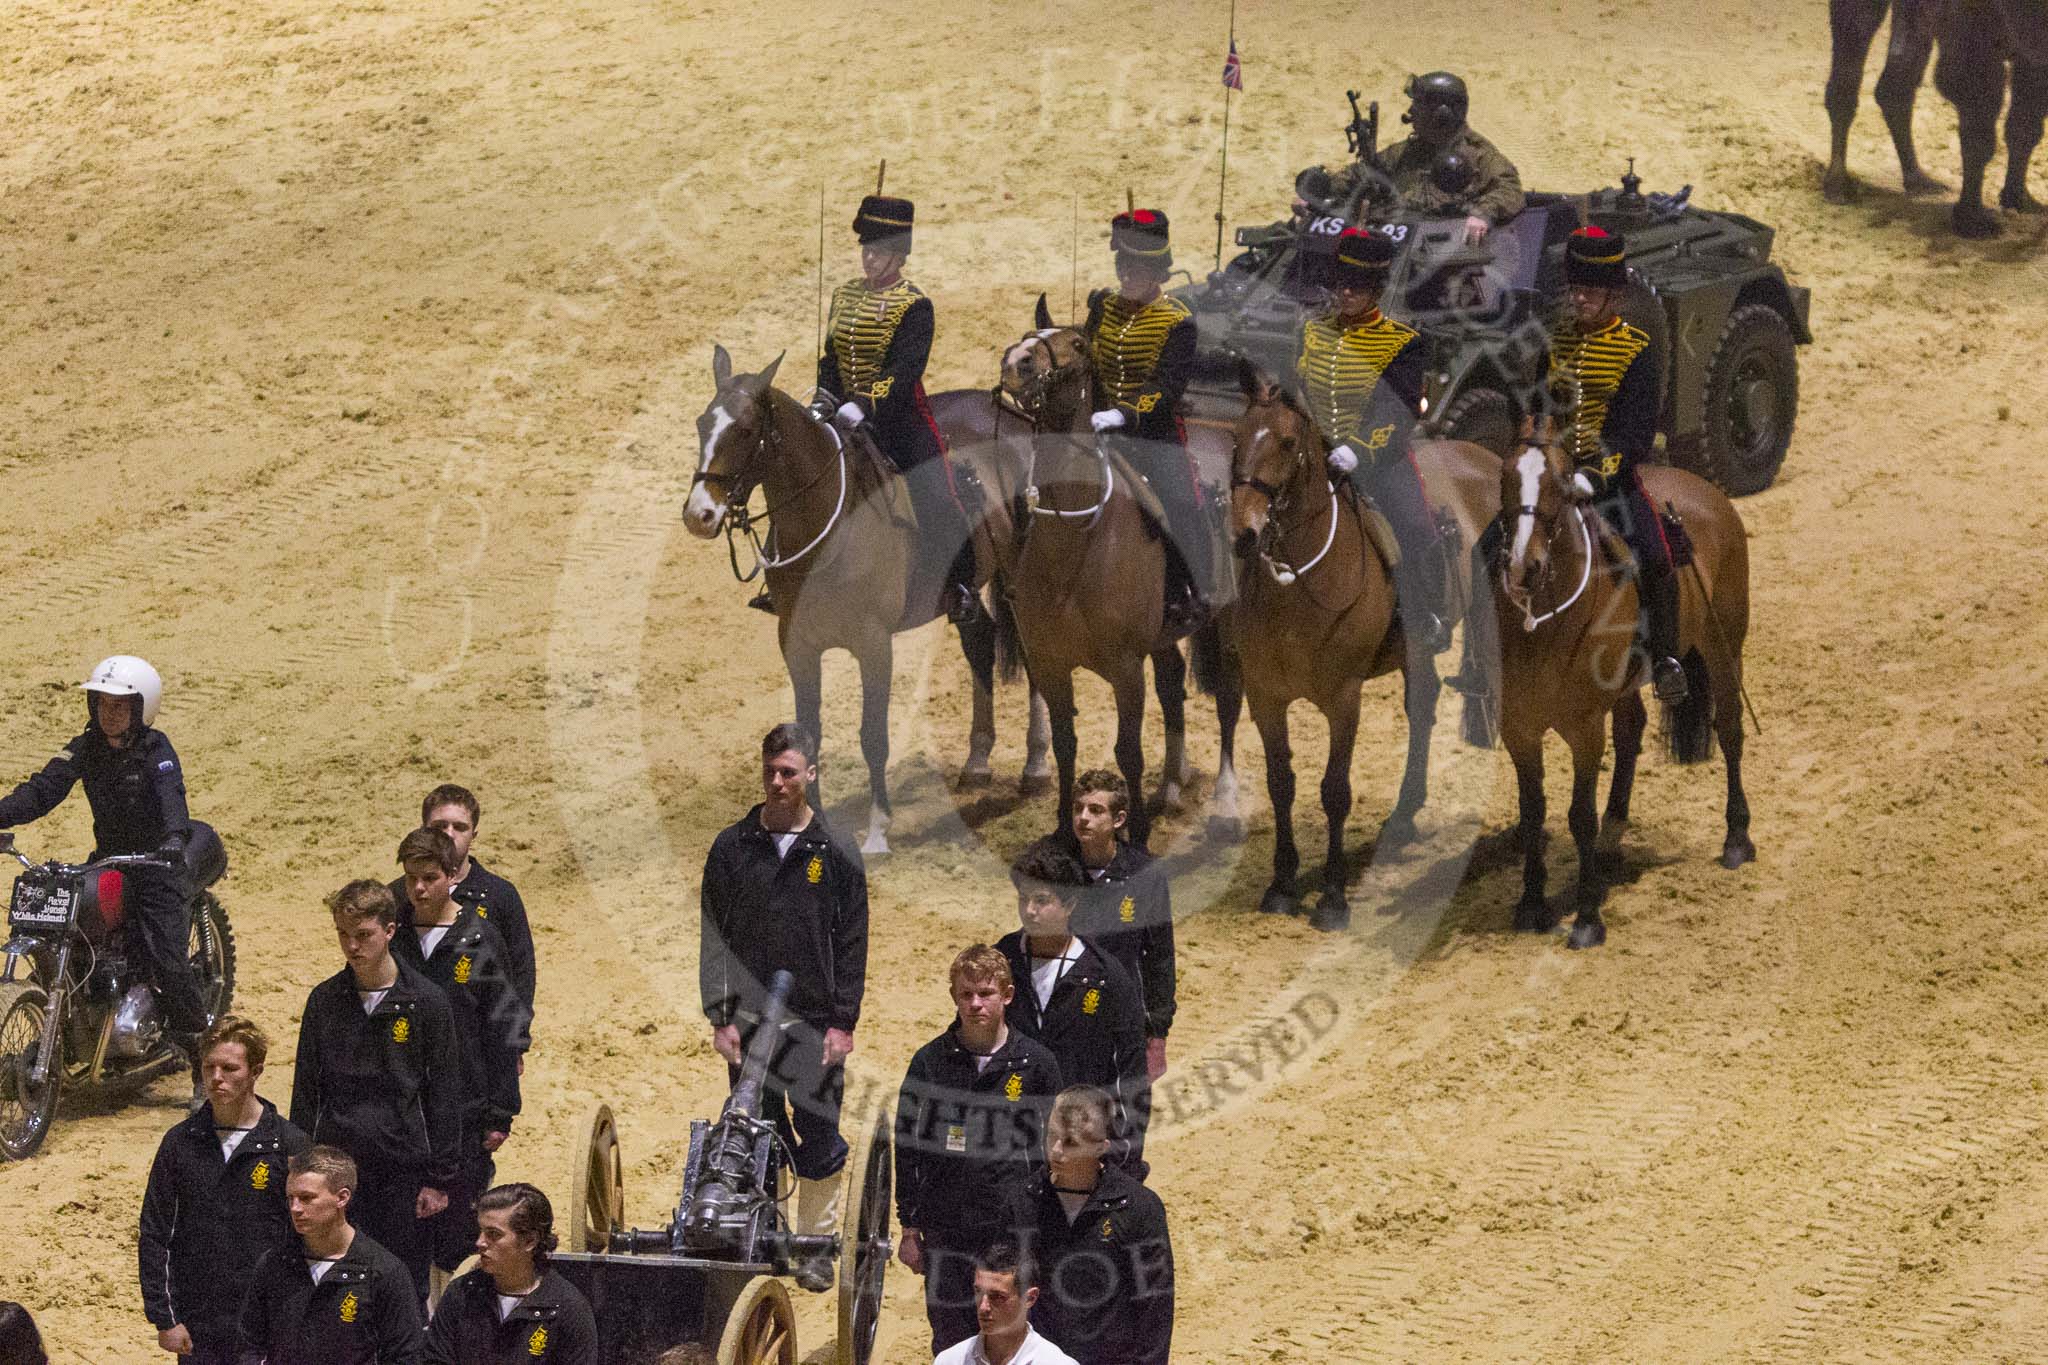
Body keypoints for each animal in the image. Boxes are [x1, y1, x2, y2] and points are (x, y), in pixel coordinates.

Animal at [688, 343, 1007, 855]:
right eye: (702, 423)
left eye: (746, 430)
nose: (698, 514)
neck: (827, 526)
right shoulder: (797, 643)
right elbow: (807, 734)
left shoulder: (874, 644)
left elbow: (873, 735)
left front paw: (877, 829)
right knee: (981, 643)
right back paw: (978, 760)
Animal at [1212, 362, 1507, 929]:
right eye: (1236, 437)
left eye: (1287, 442)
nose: (1244, 533)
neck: (1302, 581)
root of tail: (1487, 458)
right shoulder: (1265, 696)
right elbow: (1281, 783)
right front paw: (1282, 883)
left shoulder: (1344, 700)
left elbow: (1334, 790)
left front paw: (1332, 896)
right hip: (1416, 650)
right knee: (1424, 707)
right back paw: (1406, 812)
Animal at [1458, 419, 1761, 949]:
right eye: (1504, 478)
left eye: (1561, 483)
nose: (1523, 566)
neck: (1541, 625)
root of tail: (1707, 490)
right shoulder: (1520, 728)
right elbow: (1533, 811)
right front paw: (1532, 904)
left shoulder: (1584, 729)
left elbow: (1578, 815)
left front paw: (1585, 919)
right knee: (1632, 728)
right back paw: (1612, 839)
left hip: (1724, 649)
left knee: (1729, 731)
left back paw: (1737, 839)